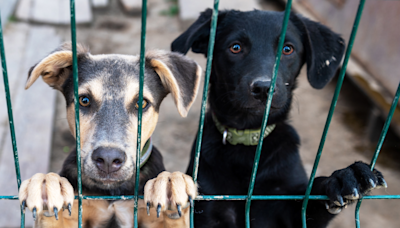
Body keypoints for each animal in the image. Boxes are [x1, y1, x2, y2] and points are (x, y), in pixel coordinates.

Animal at [18, 42, 200, 226]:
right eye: (84, 100)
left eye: (141, 103)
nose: (108, 159)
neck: (112, 191)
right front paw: (47, 184)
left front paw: (171, 183)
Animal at [173, 8, 388, 228]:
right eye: (235, 47)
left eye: (287, 49)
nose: (263, 88)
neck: (250, 142)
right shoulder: (209, 208)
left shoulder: (293, 210)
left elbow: (309, 198)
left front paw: (343, 178)